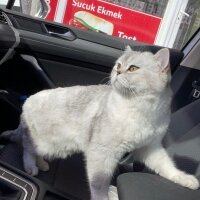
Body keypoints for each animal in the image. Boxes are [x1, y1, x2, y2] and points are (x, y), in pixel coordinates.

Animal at [0, 47, 199, 200]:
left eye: (133, 68)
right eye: (119, 65)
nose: (117, 72)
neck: (140, 108)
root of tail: (28, 100)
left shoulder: (150, 148)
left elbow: (167, 166)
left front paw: (184, 179)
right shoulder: (102, 153)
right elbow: (98, 184)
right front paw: (102, 197)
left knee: (35, 151)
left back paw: (41, 163)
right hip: (43, 141)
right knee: (27, 148)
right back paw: (31, 166)